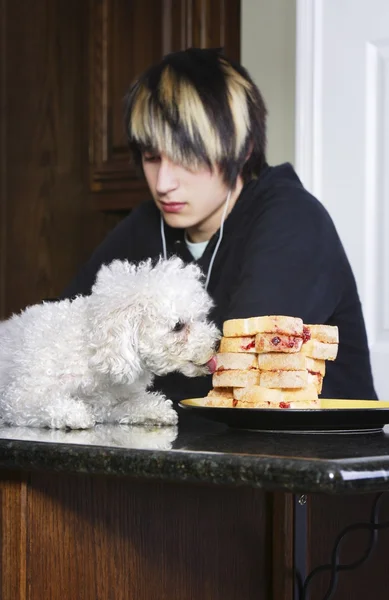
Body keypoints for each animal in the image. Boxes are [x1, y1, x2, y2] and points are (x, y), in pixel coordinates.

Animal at [0, 258, 218, 432]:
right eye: (178, 326)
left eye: (200, 318)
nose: (217, 344)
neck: (91, 351)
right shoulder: (19, 398)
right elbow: (45, 404)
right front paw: (73, 414)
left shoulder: (104, 402)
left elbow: (126, 406)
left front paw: (152, 409)